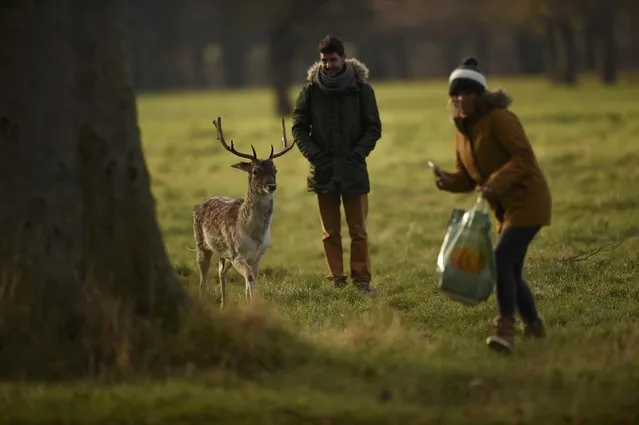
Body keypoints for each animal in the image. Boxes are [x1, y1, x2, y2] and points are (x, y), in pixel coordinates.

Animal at [192, 116, 298, 308]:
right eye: (255, 171)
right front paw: (251, 305)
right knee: (203, 280)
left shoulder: (257, 256)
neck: (253, 234)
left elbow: (251, 280)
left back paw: (223, 305)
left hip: (224, 254)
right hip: (201, 245)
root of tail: (197, 206)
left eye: (275, 170)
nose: (272, 186)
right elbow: (249, 277)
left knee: (221, 272)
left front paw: (251, 304)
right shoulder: (237, 254)